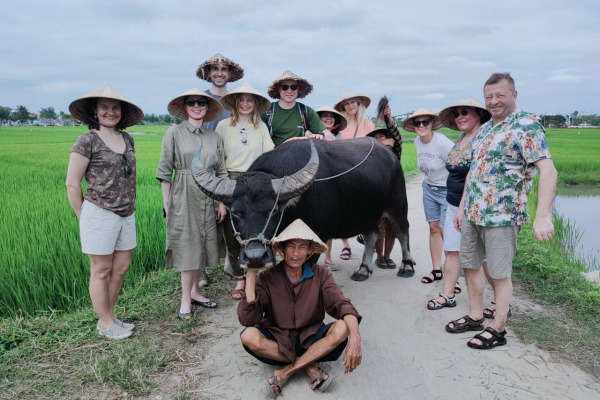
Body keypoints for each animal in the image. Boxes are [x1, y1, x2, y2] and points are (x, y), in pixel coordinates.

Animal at [193, 138, 418, 282]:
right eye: (236, 213)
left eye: (274, 211)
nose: (255, 257)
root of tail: (390, 154)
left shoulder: (316, 237)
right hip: (367, 212)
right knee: (371, 234)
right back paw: (363, 270)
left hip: (397, 205)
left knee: (402, 230)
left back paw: (407, 266)